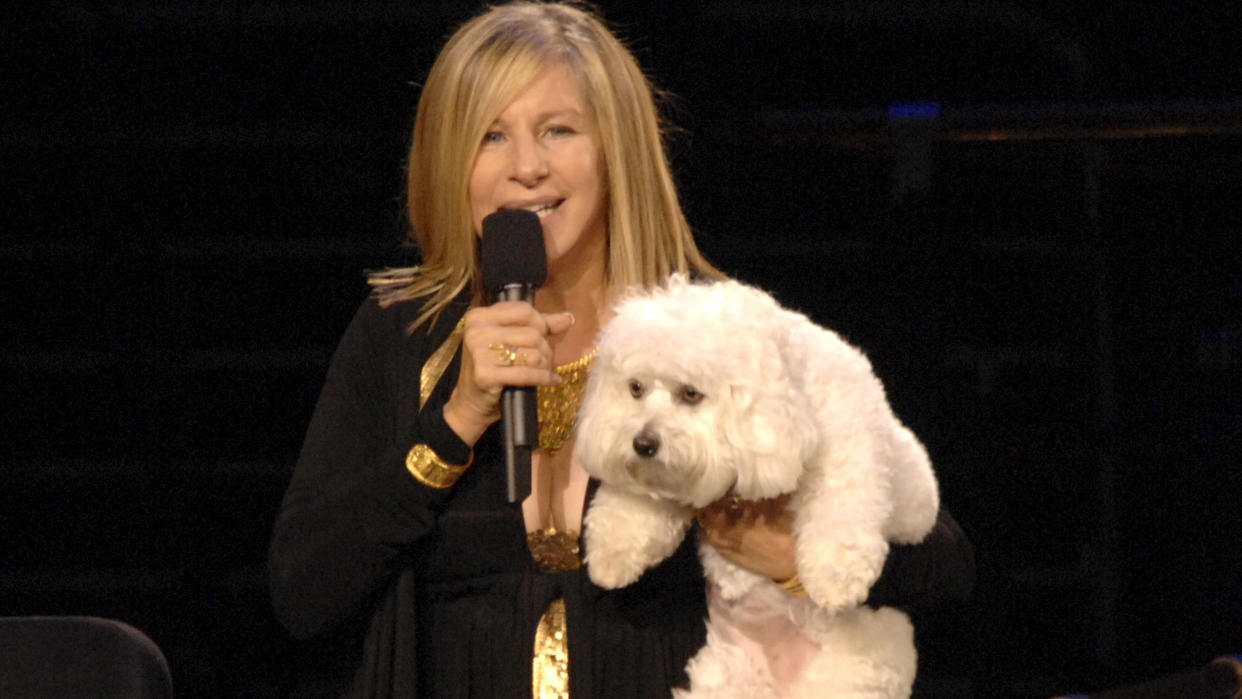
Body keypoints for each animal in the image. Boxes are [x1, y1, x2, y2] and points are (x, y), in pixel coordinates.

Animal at [576, 276, 933, 695]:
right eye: (635, 388)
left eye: (691, 394)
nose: (643, 444)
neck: (791, 400)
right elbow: (632, 512)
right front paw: (611, 557)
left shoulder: (851, 446)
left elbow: (844, 504)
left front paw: (836, 578)